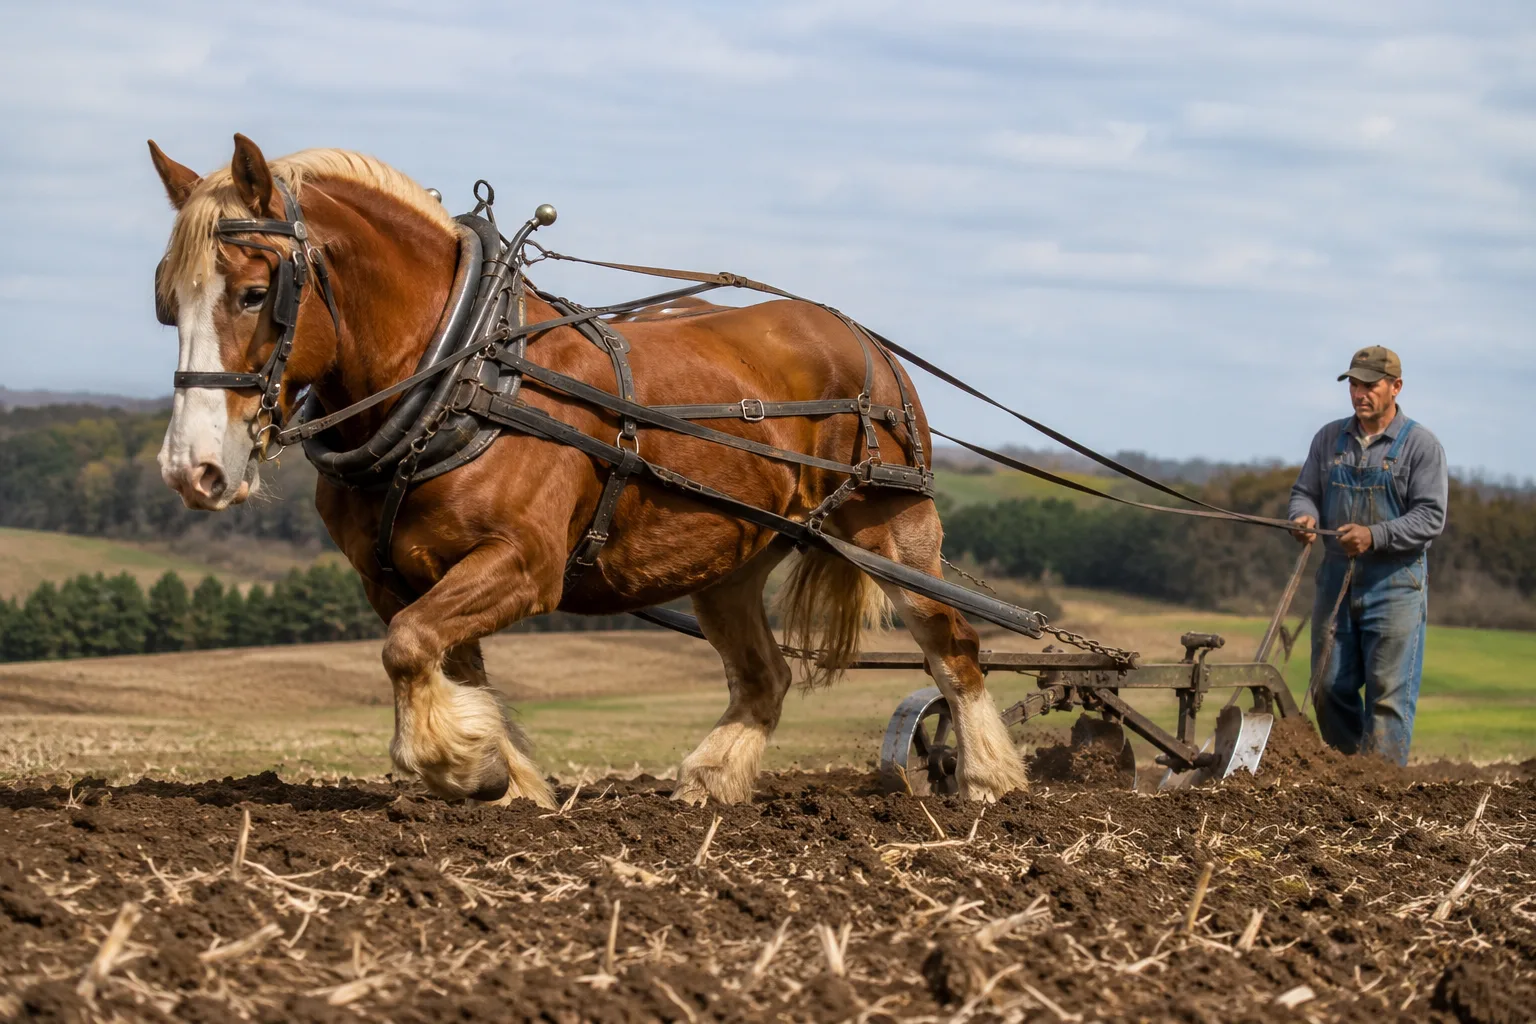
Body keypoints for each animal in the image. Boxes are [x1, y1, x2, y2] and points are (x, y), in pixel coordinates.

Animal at [147, 134, 1030, 808]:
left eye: (255, 293)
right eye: (166, 302)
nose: (192, 471)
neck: (461, 377)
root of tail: (861, 338)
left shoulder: (522, 562)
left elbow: (408, 647)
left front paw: (460, 764)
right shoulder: (397, 574)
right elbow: (442, 659)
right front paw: (504, 773)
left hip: (891, 528)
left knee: (952, 646)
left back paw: (988, 779)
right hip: (728, 560)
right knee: (764, 673)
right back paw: (711, 778)